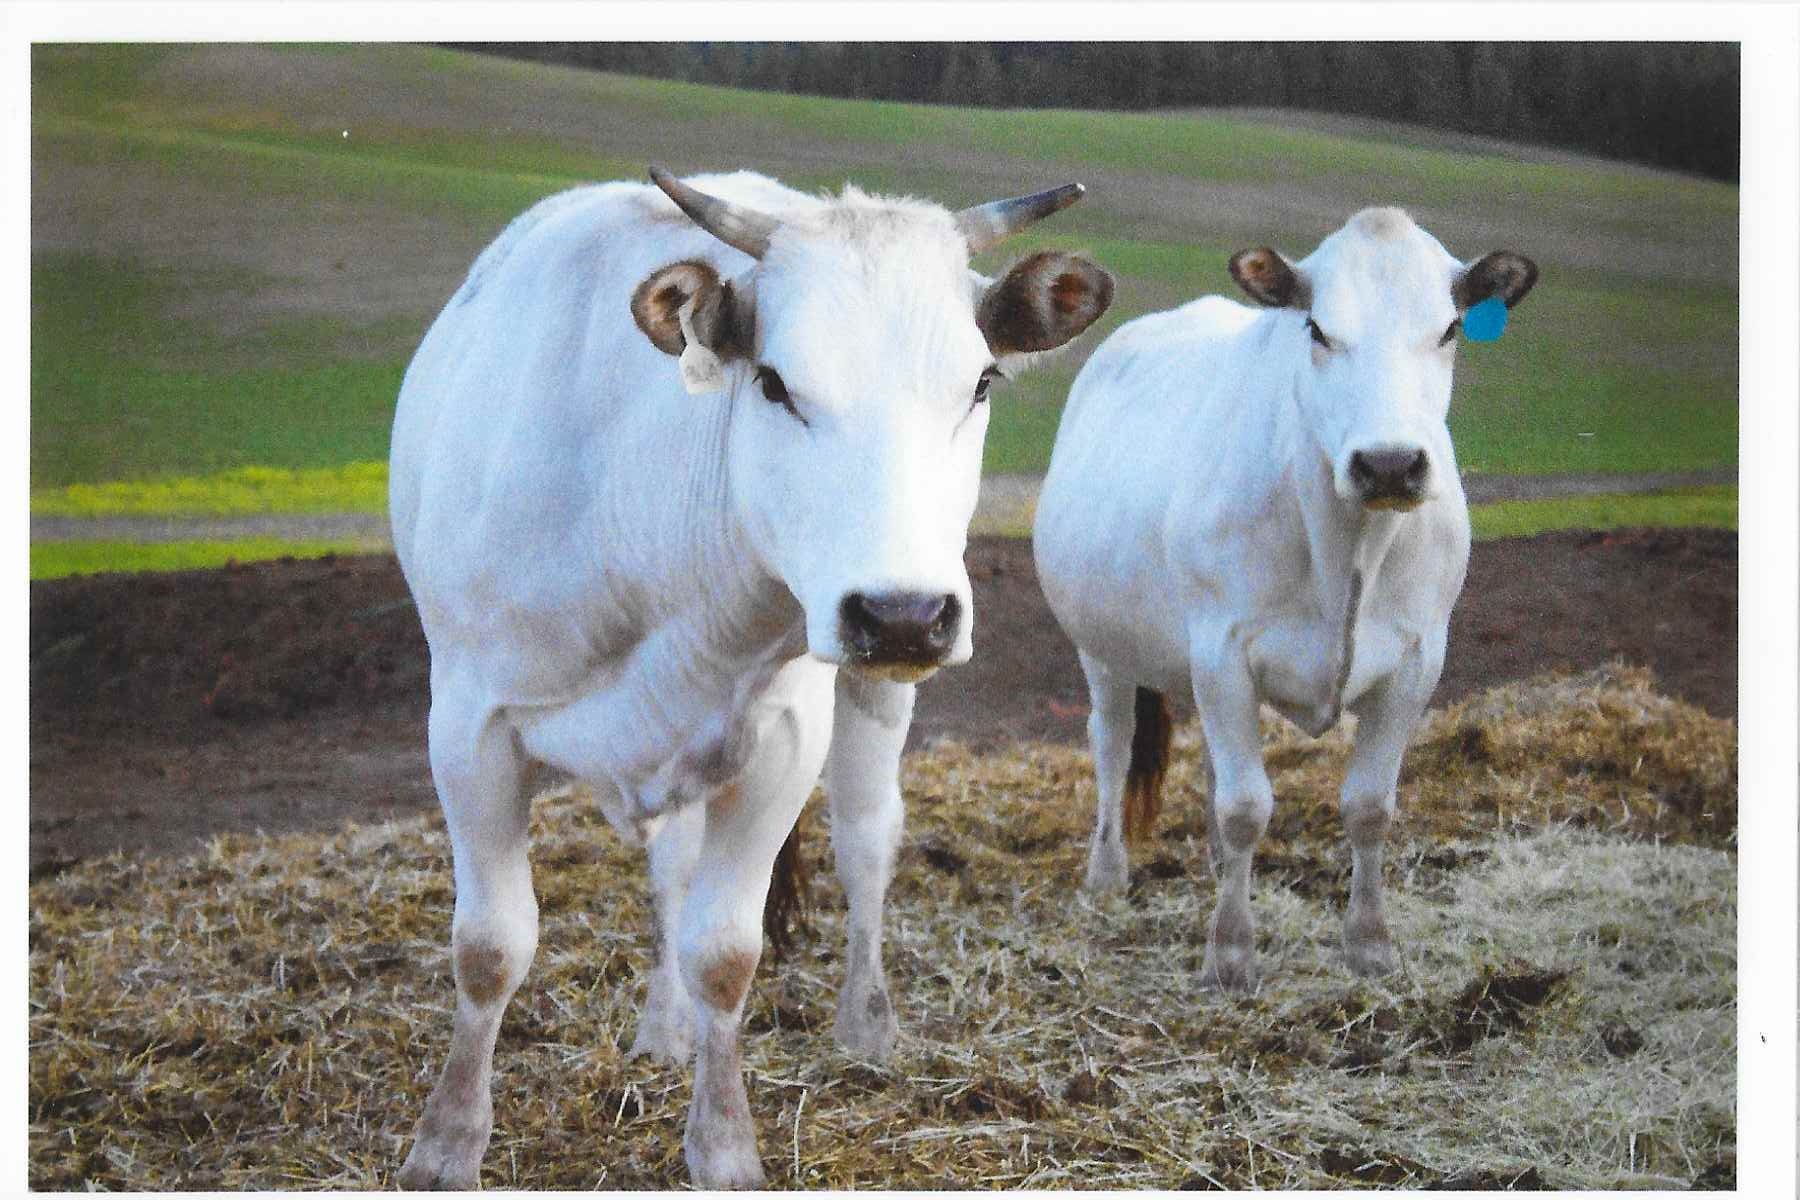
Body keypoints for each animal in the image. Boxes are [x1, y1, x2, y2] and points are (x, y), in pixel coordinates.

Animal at [390, 164, 1108, 1187]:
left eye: (980, 381)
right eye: (773, 382)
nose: (902, 613)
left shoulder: (781, 742)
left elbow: (726, 951)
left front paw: (725, 1147)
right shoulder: (468, 728)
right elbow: (490, 947)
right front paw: (445, 1146)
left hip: (872, 691)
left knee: (866, 840)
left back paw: (864, 1024)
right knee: (668, 870)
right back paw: (663, 1029)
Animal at [1036, 206, 1540, 993]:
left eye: (1451, 329)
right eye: (1318, 330)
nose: (1389, 463)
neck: (1346, 550)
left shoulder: (1418, 658)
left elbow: (1369, 806)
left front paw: (1370, 944)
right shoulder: (1222, 649)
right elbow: (1247, 806)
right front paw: (1230, 953)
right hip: (1101, 646)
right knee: (1112, 743)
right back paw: (1107, 873)